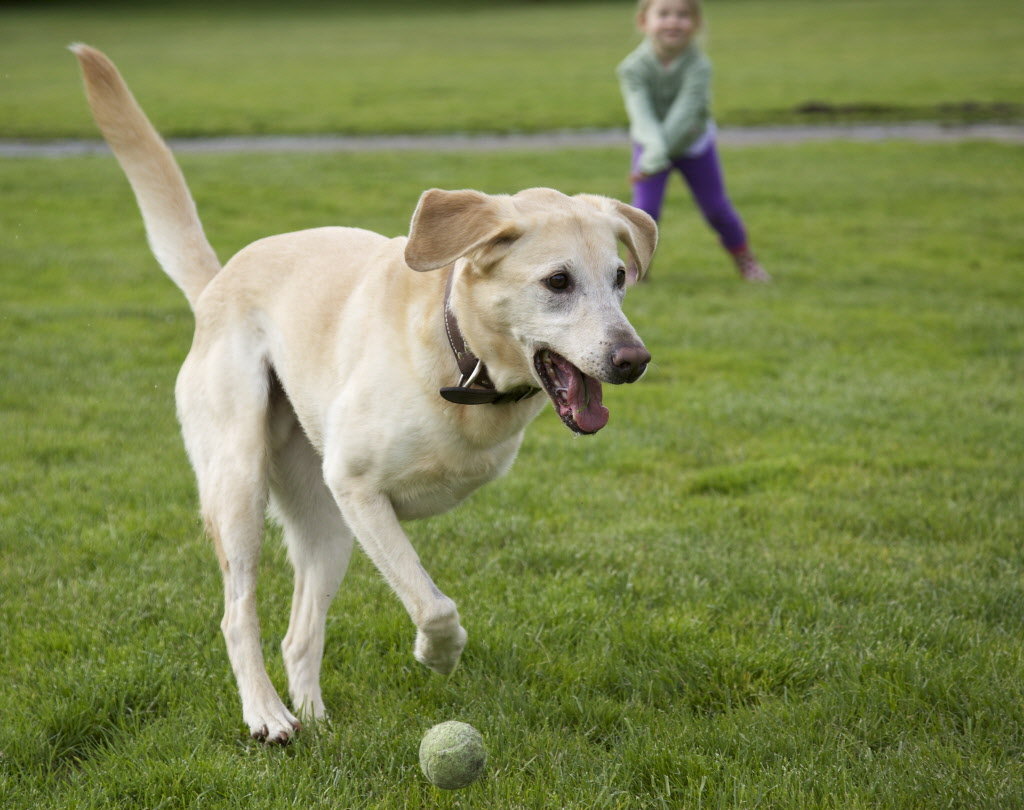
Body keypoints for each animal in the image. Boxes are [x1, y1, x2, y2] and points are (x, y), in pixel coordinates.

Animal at [74, 44, 655, 741]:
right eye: (558, 281)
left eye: (619, 278)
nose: (634, 359)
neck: (460, 361)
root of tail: (217, 283)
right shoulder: (359, 489)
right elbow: (433, 604)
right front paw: (439, 654)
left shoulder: (354, 503)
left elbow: (417, 597)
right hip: (241, 484)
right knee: (238, 615)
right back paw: (266, 714)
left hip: (326, 526)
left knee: (298, 636)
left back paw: (315, 720)